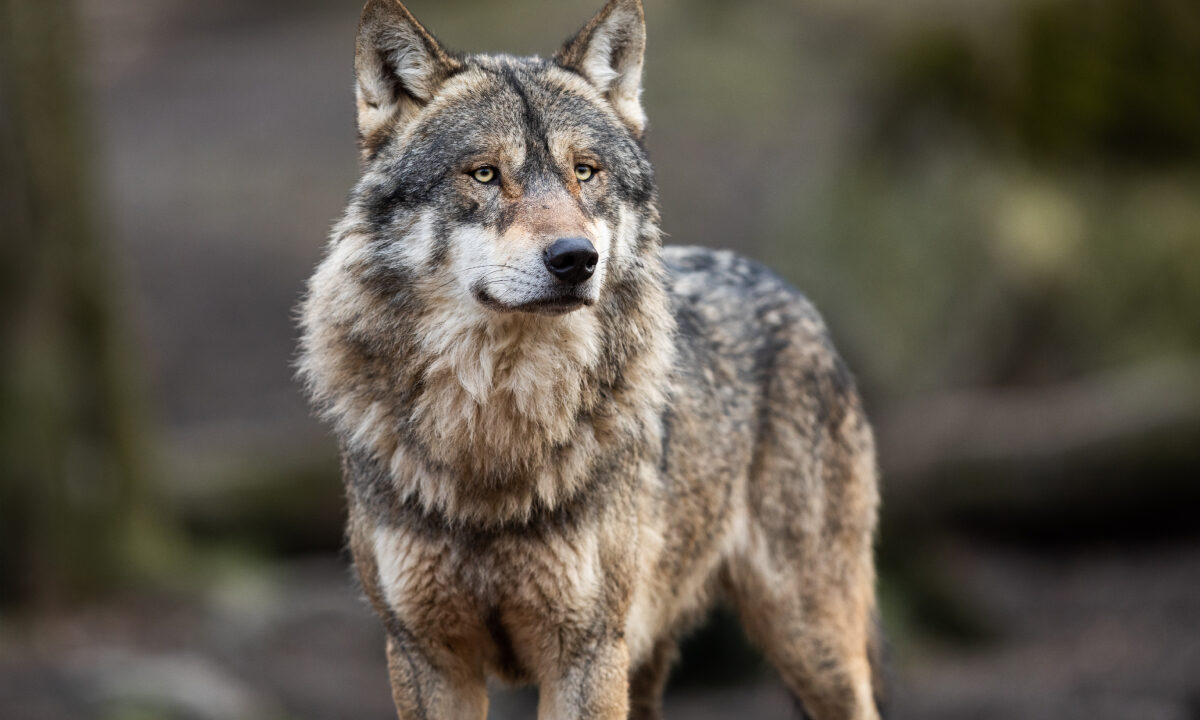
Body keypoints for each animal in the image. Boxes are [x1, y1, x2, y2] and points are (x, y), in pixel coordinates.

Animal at [298, 0, 884, 718]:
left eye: (585, 171)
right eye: (485, 173)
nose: (577, 259)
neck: (494, 435)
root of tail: (787, 289)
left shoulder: (586, 653)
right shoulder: (424, 657)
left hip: (810, 644)